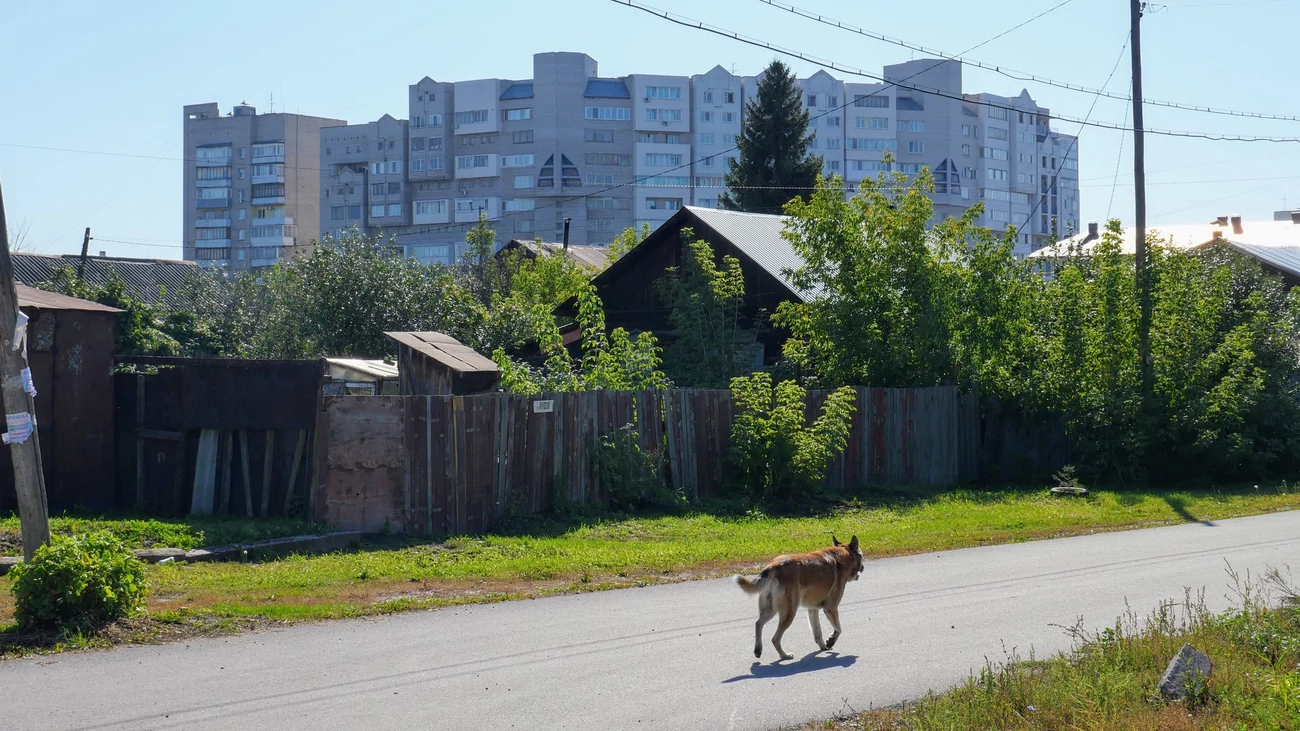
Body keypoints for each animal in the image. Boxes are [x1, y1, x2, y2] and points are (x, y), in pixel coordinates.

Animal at [733, 533, 863, 658]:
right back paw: (784, 655)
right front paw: (831, 640)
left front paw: (823, 646)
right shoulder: (830, 608)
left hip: (770, 609)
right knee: (775, 639)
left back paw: (758, 649)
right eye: (861, 555)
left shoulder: (813, 610)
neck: (844, 553)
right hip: (789, 613)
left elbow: (818, 632)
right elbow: (838, 629)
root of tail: (774, 565)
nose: (863, 567)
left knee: (758, 624)